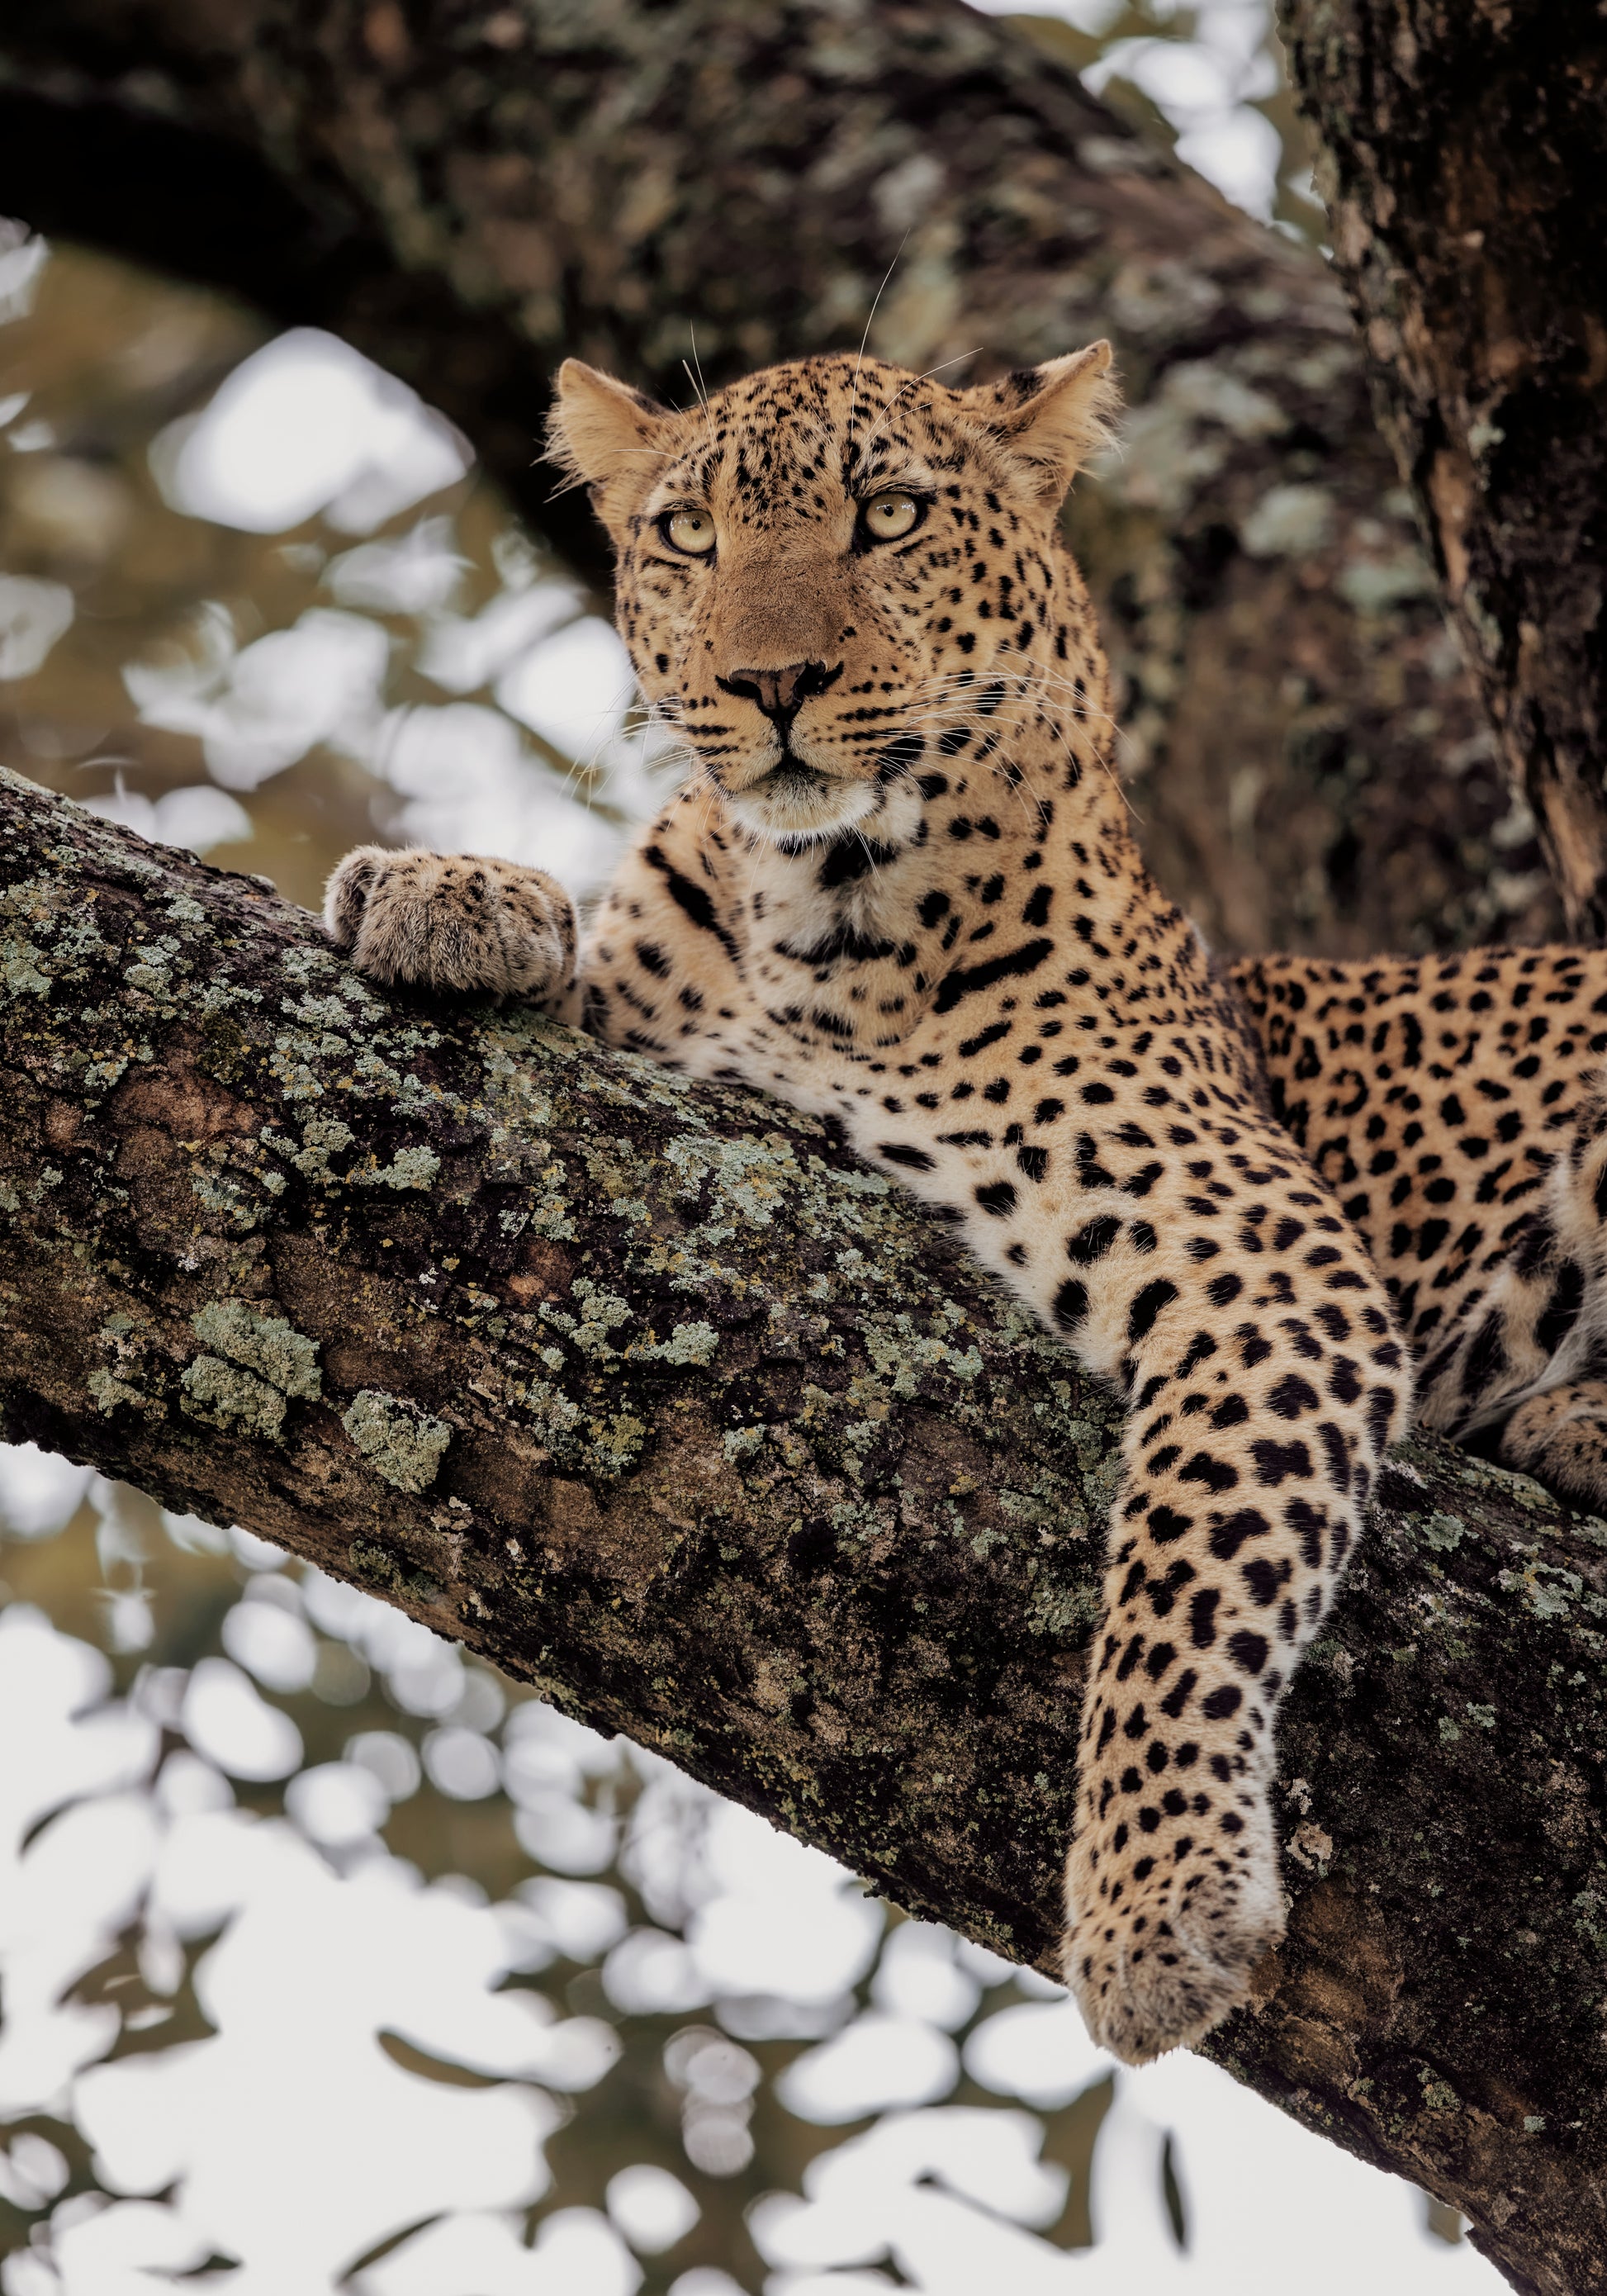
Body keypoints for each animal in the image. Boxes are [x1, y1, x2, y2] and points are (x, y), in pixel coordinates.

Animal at [324, 343, 1607, 2065]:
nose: (772, 684)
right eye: (687, 536)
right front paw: (441, 892)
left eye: (889, 518)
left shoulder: (1270, 1273)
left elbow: (1183, 1578)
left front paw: (1153, 1903)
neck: (816, 921)